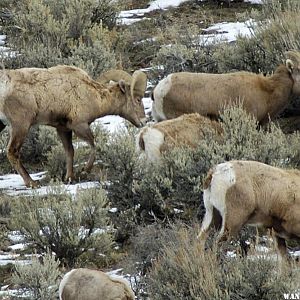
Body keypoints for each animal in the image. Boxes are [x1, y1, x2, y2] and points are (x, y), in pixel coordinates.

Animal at [0, 65, 148, 186]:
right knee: (12, 152)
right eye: (137, 99)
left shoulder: (63, 129)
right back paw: (32, 183)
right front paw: (83, 171)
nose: (144, 121)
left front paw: (69, 178)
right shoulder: (79, 126)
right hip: (21, 126)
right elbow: (94, 145)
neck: (93, 96)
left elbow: (70, 151)